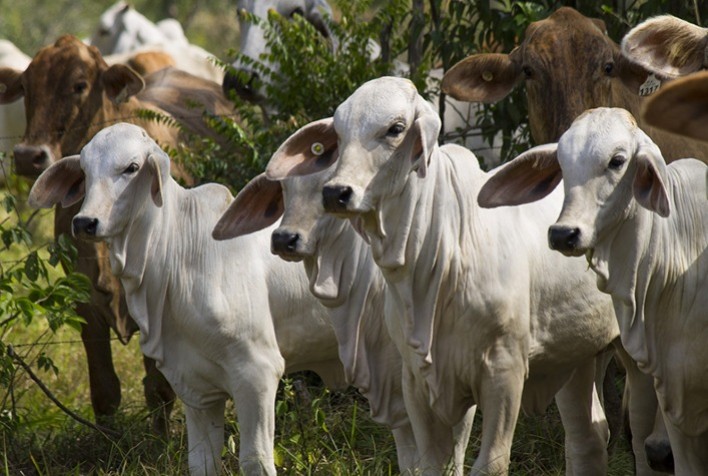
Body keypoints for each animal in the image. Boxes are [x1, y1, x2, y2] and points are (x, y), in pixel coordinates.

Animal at [0, 34, 234, 433]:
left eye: (80, 85)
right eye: (26, 86)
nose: (29, 155)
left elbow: (158, 389)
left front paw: (162, 439)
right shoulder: (85, 306)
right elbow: (105, 392)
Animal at [27, 122, 344, 476]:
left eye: (131, 167)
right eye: (84, 171)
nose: (85, 222)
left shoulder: (258, 372)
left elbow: (255, 460)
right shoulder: (195, 386)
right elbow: (201, 462)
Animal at [263, 76, 621, 475]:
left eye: (396, 128)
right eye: (338, 134)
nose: (337, 192)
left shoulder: (503, 372)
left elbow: (488, 465)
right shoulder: (417, 381)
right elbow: (432, 464)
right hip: (579, 354)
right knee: (588, 437)